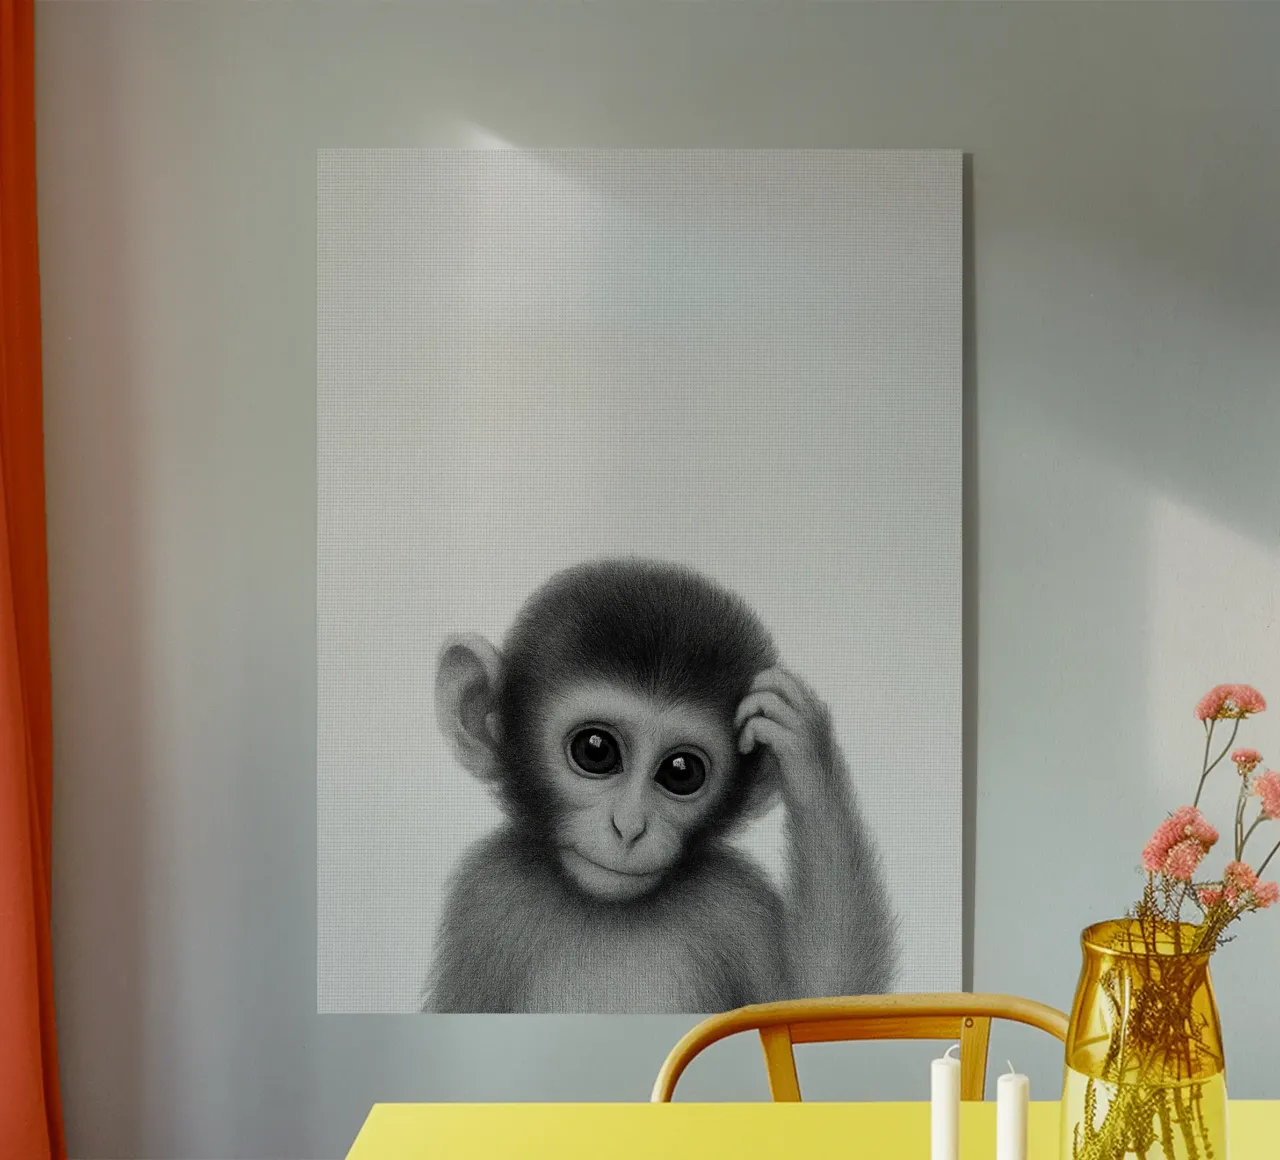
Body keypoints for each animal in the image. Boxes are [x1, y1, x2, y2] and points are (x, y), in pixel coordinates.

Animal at [424, 557, 898, 1013]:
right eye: (595, 750)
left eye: (681, 772)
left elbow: (817, 995)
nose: (630, 827)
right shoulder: (487, 896)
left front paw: (805, 747)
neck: (609, 911)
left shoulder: (735, 898)